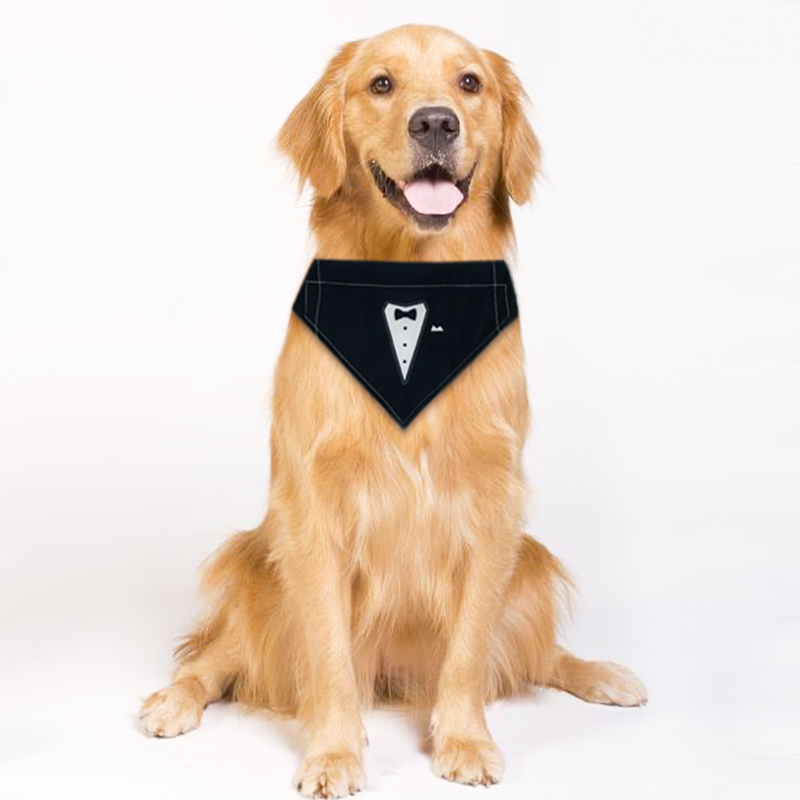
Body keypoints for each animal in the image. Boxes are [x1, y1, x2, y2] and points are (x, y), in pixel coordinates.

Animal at [139, 24, 647, 798]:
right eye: (381, 84)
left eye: (470, 83)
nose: (436, 122)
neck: (411, 280)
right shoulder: (312, 507)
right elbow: (326, 654)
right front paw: (334, 753)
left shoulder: (493, 501)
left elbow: (470, 649)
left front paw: (464, 740)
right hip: (257, 568)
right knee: (220, 657)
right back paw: (175, 698)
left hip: (528, 563)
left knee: (531, 654)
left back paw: (601, 673)